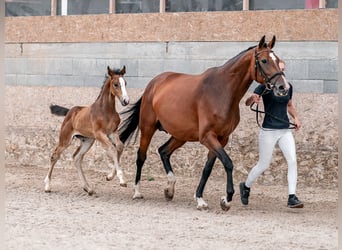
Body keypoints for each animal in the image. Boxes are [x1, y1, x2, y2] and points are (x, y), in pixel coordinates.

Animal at [44, 65, 130, 194]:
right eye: (115, 84)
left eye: (125, 83)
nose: (126, 101)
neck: (106, 110)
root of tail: (70, 112)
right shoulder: (99, 134)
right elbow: (112, 149)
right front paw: (122, 180)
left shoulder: (112, 132)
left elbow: (119, 147)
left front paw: (109, 176)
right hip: (65, 139)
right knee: (55, 156)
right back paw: (47, 186)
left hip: (88, 141)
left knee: (77, 158)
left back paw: (88, 188)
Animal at [119, 35, 290, 210]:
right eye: (264, 60)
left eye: (278, 60)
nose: (283, 87)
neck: (222, 91)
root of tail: (153, 84)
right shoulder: (207, 136)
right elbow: (228, 163)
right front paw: (227, 199)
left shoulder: (222, 138)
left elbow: (208, 168)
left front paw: (200, 198)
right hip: (148, 128)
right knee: (141, 156)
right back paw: (137, 192)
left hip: (180, 135)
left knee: (164, 151)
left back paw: (169, 188)